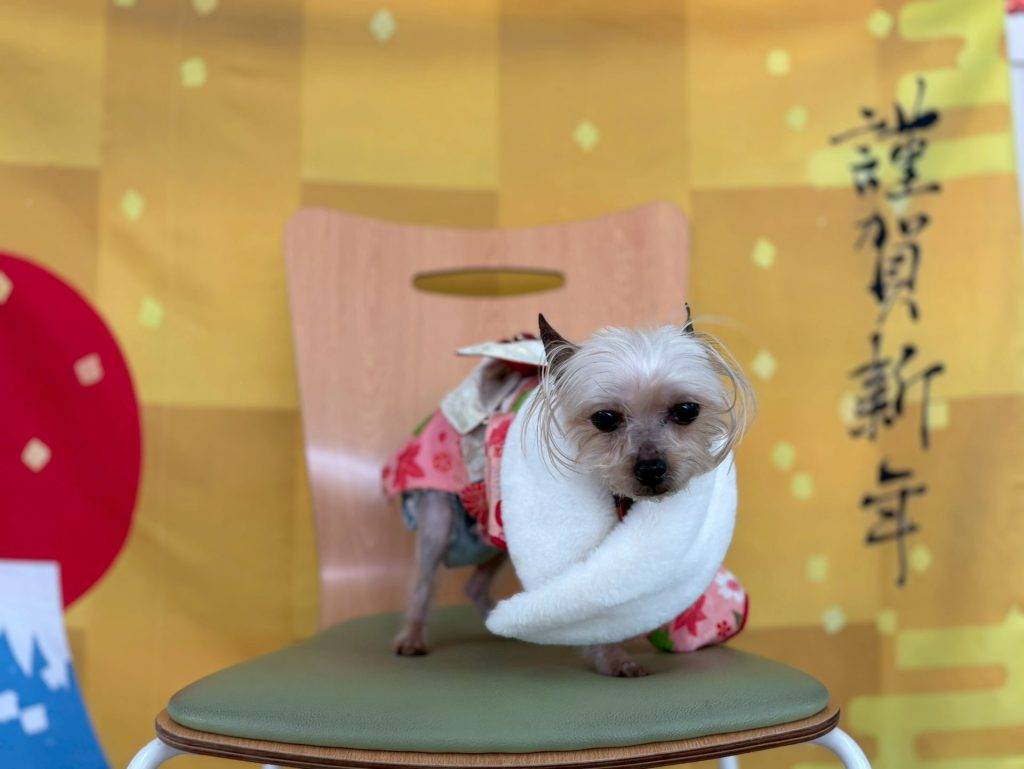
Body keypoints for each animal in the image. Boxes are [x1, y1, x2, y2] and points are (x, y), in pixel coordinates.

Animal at [388, 307, 753, 676]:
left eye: (687, 411)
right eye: (604, 418)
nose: (651, 469)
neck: (620, 498)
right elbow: (586, 606)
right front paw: (613, 658)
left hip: (495, 526)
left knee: (474, 584)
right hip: (441, 512)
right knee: (424, 578)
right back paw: (412, 638)